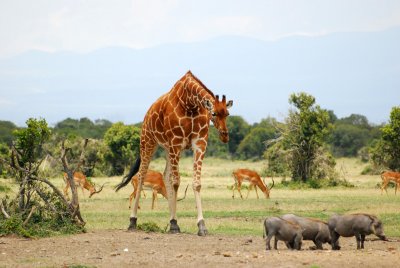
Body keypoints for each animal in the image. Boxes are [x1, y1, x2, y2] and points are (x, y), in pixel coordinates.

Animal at [115, 70, 233, 236]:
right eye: (214, 113)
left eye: (227, 113)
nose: (225, 136)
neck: (190, 104)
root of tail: (147, 114)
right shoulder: (176, 143)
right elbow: (176, 182)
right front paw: (174, 225)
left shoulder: (199, 144)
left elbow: (196, 183)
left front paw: (201, 225)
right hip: (148, 142)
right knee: (142, 175)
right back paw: (133, 221)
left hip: (167, 148)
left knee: (165, 176)